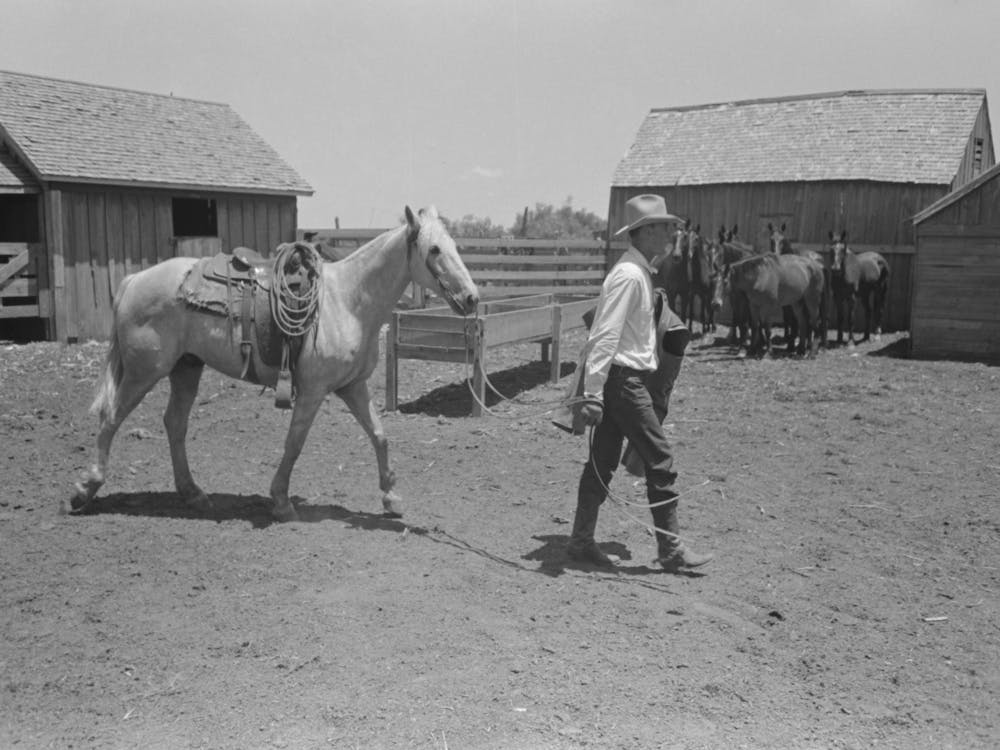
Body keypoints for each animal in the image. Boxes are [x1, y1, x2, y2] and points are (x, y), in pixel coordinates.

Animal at [69, 206, 479, 522]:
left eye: (455, 247)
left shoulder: (353, 386)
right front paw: (281, 502)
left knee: (174, 424)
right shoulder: (314, 390)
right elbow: (295, 442)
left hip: (186, 368)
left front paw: (391, 498)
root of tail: (133, 280)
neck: (348, 301)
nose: (472, 298)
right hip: (144, 372)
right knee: (111, 418)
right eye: (434, 250)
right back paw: (85, 489)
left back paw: (193, 493)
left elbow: (379, 435)